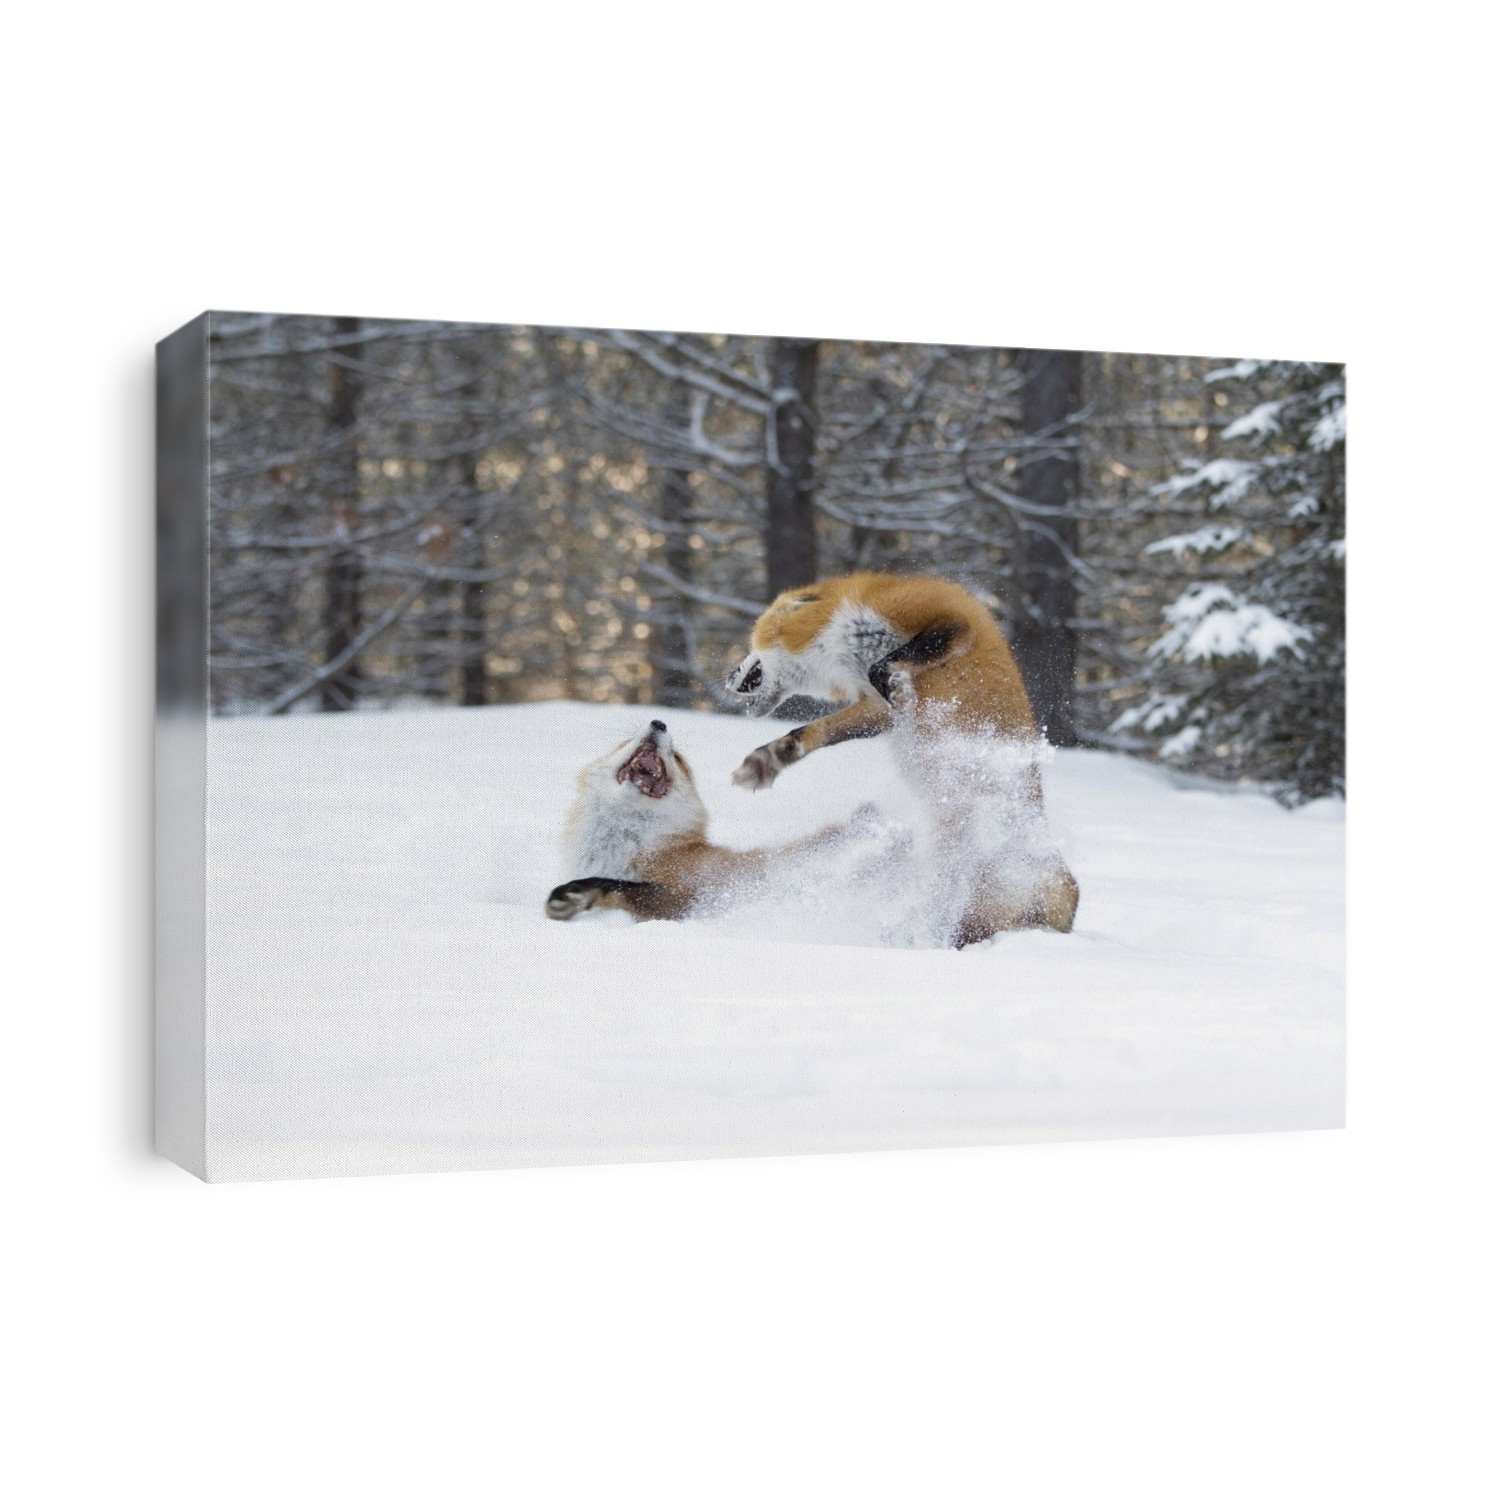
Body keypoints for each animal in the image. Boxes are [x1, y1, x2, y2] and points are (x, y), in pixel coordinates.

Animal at [545, 718, 876, 925]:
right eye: (626, 741)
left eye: (678, 758)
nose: (659, 723)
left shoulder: (690, 898)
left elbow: (620, 886)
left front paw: (578, 893)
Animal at [724, 571, 1079, 942]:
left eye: (750, 644)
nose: (727, 677)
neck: (840, 639)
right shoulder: (875, 709)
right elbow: (811, 733)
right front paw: (768, 761)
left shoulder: (949, 620)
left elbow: (885, 664)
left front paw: (900, 686)